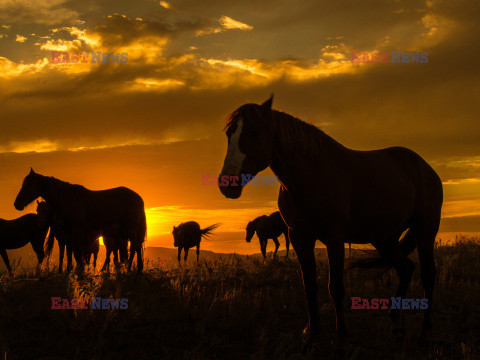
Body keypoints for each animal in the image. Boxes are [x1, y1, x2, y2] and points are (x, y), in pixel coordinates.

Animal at [15, 169, 146, 272]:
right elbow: (73, 253)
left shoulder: (76, 230)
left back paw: (132, 268)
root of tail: (138, 198)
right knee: (134, 247)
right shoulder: (69, 234)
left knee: (134, 246)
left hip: (130, 228)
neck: (68, 198)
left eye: (28, 185)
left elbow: (77, 253)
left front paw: (80, 271)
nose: (16, 204)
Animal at [218, 95, 442, 346]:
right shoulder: (299, 237)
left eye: (255, 132)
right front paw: (312, 333)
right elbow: (309, 286)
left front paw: (341, 335)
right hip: (384, 238)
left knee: (428, 275)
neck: (312, 176)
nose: (227, 183)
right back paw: (395, 324)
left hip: (425, 230)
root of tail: (425, 167)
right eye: (229, 134)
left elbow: (335, 287)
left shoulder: (334, 238)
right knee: (405, 269)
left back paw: (424, 331)